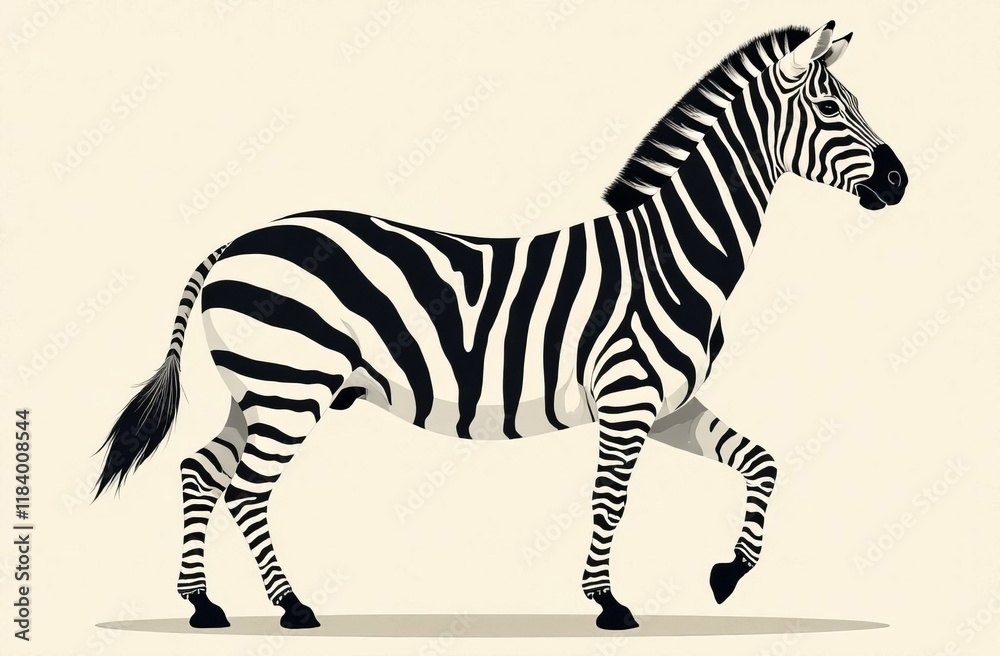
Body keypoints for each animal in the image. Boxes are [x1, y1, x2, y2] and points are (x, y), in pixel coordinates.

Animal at [95, 21, 907, 631]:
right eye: (831, 110)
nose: (901, 181)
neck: (673, 253)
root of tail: (235, 242)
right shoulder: (627, 399)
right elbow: (611, 501)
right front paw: (608, 603)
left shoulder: (671, 406)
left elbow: (761, 462)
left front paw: (728, 573)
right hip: (293, 387)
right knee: (244, 490)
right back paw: (292, 607)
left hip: (260, 391)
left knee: (200, 471)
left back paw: (204, 606)